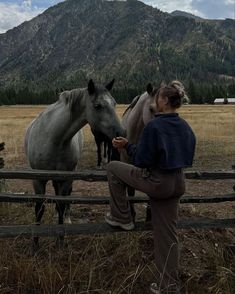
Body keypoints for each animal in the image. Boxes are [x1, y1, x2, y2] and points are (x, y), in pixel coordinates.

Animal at [24, 79, 125, 240]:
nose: (121, 133)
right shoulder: (38, 179)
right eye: (98, 106)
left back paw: (67, 217)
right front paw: (35, 242)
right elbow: (39, 209)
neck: (54, 139)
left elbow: (61, 204)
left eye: (114, 103)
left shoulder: (66, 177)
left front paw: (60, 237)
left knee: (66, 196)